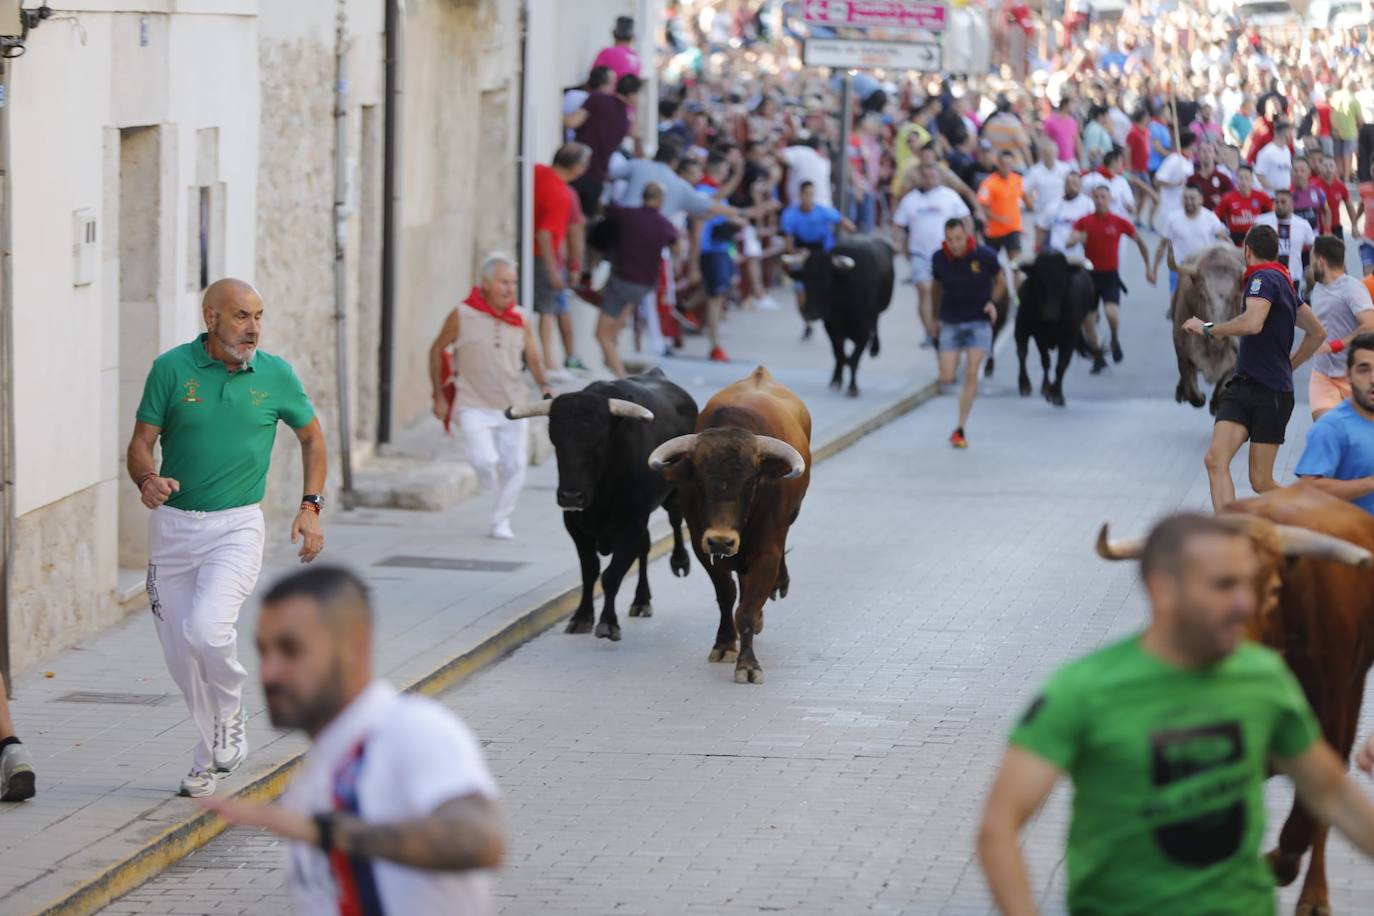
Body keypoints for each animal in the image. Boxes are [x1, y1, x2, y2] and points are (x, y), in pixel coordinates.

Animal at [505, 368, 697, 642]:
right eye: (556, 441)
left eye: (598, 442)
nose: (571, 496)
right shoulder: (576, 527)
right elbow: (590, 572)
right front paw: (582, 617)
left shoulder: (630, 526)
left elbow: (611, 576)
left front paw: (607, 622)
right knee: (646, 546)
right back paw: (641, 600)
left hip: (674, 492)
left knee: (675, 518)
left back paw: (680, 562)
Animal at [648, 365, 807, 681]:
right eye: (699, 482)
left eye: (750, 483)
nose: (721, 540)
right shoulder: (703, 548)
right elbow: (727, 596)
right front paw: (724, 644)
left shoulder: (767, 551)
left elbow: (746, 610)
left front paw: (748, 664)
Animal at [802, 234, 895, 395]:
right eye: (805, 280)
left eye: (828, 281)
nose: (810, 313)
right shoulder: (832, 329)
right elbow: (839, 355)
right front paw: (836, 380)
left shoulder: (863, 332)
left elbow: (854, 359)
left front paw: (853, 387)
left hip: (881, 308)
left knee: (876, 322)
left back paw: (874, 348)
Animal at [1016, 252, 1099, 406]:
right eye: (1039, 281)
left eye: (1063, 282)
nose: (1050, 315)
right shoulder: (1031, 332)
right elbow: (1030, 356)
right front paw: (1026, 385)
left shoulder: (1070, 337)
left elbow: (1061, 364)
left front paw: (1056, 394)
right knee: (1038, 359)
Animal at [1170, 245, 1247, 414]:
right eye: (1202, 295)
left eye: (1235, 296)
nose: (1217, 333)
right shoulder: (1183, 355)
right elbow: (1194, 395)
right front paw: (1197, 396)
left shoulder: (1234, 360)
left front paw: (1216, 403)